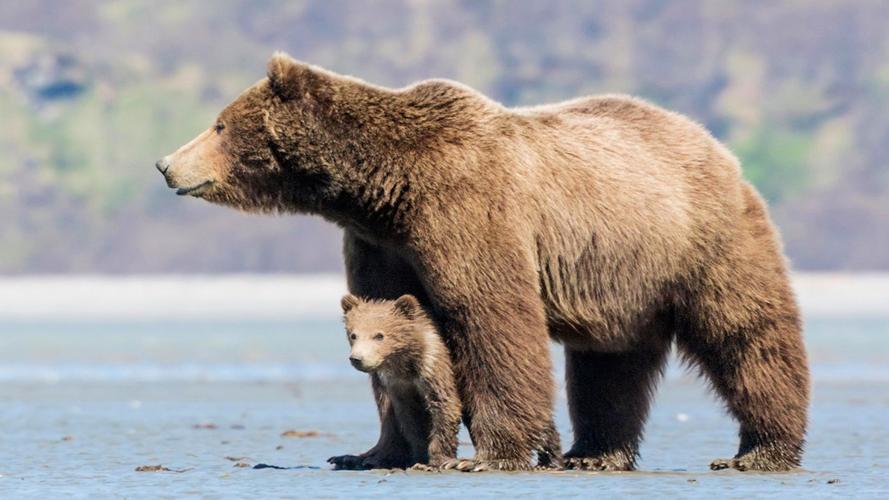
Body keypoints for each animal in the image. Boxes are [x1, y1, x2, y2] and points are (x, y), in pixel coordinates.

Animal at [156, 52, 808, 470]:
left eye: (219, 124)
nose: (166, 164)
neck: (384, 188)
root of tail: (716, 145)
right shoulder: (380, 243)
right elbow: (386, 320)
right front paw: (368, 452)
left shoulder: (468, 212)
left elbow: (491, 319)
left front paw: (489, 454)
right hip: (619, 279)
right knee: (609, 363)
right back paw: (595, 455)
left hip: (699, 241)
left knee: (747, 334)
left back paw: (761, 450)